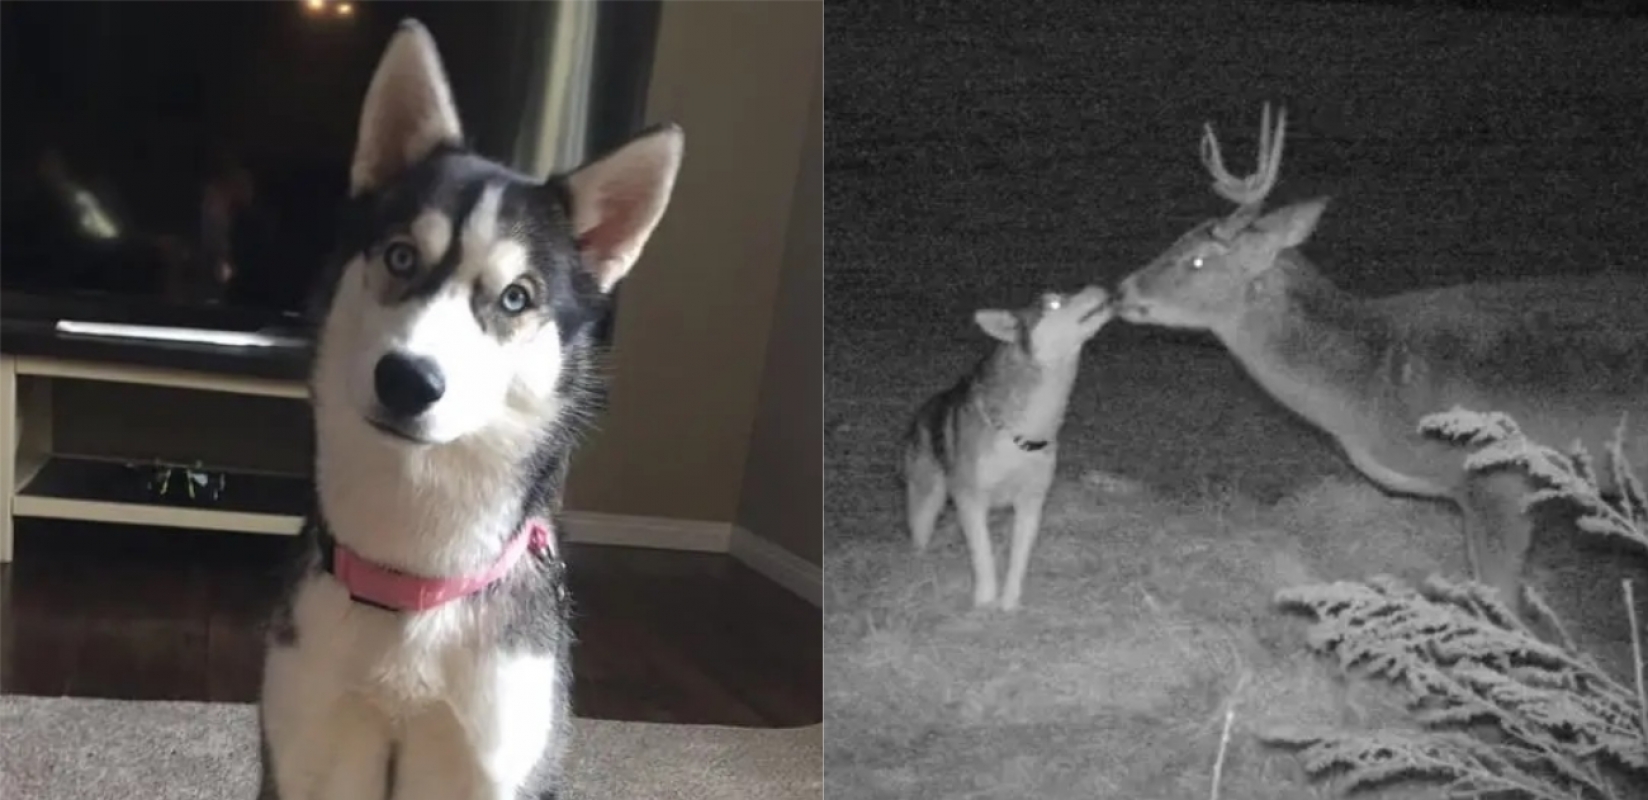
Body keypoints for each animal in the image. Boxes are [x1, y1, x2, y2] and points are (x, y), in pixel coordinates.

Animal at [258, 21, 682, 795]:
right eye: (400, 257)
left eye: (516, 296)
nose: (408, 380)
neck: (414, 581)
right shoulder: (310, 748)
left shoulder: (490, 763)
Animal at [903, 285, 1120, 603]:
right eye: (1053, 303)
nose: (1098, 287)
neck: (1023, 432)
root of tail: (923, 410)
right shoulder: (971, 500)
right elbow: (983, 556)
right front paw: (984, 602)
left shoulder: (1031, 502)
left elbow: (1019, 559)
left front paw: (1009, 604)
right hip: (926, 502)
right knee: (920, 536)